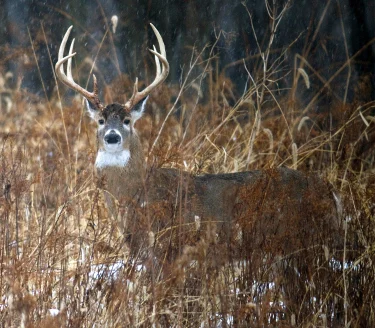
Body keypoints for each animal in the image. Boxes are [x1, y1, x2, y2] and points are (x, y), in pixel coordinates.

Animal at [55, 24, 344, 266]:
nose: (112, 137)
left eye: (127, 120)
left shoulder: (166, 246)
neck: (138, 196)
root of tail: (331, 193)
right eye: (101, 120)